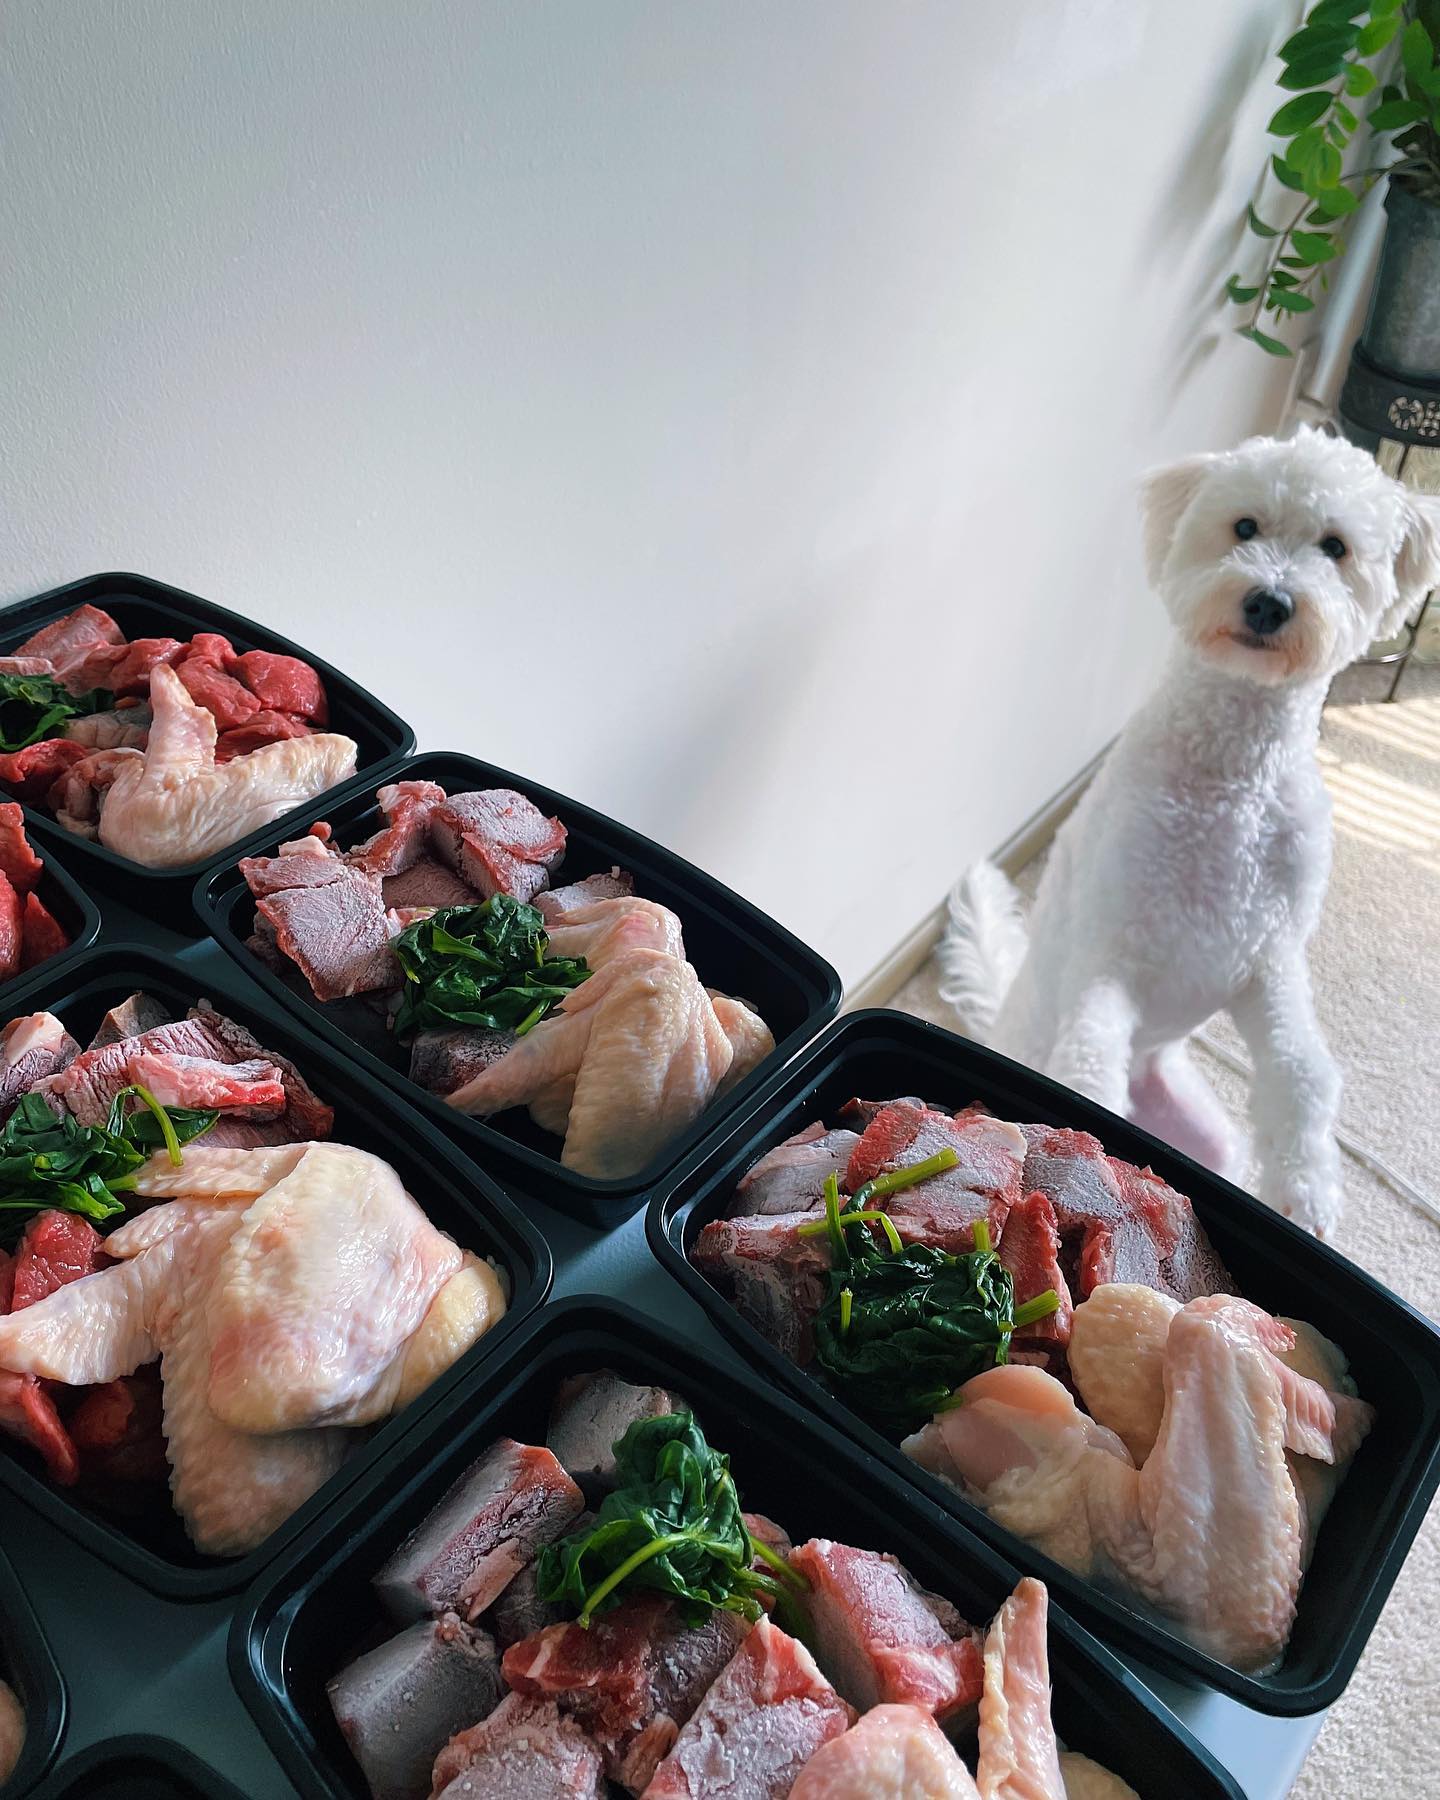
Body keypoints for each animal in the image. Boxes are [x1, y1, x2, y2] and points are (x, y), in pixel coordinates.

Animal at [943, 424, 1440, 1238]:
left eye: (1334, 546)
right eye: (1243, 527)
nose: (1270, 600)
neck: (1231, 781)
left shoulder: (1268, 965)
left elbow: (1304, 1073)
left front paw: (1308, 1190)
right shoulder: (1110, 959)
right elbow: (1090, 1070)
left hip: (1211, 1138)